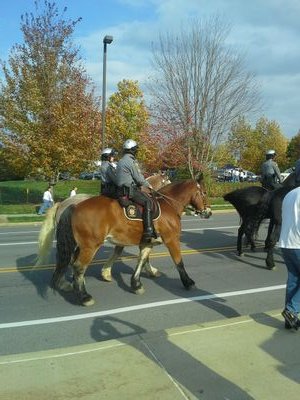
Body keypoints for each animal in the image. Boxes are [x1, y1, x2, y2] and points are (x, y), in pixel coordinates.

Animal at [52, 176, 211, 306]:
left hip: (81, 245)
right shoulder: (172, 240)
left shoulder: (147, 242)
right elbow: (179, 262)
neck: (168, 205)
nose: (208, 212)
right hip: (90, 246)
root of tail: (74, 206)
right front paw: (188, 282)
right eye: (204, 192)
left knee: (72, 263)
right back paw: (84, 296)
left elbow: (142, 260)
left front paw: (136, 284)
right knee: (79, 266)